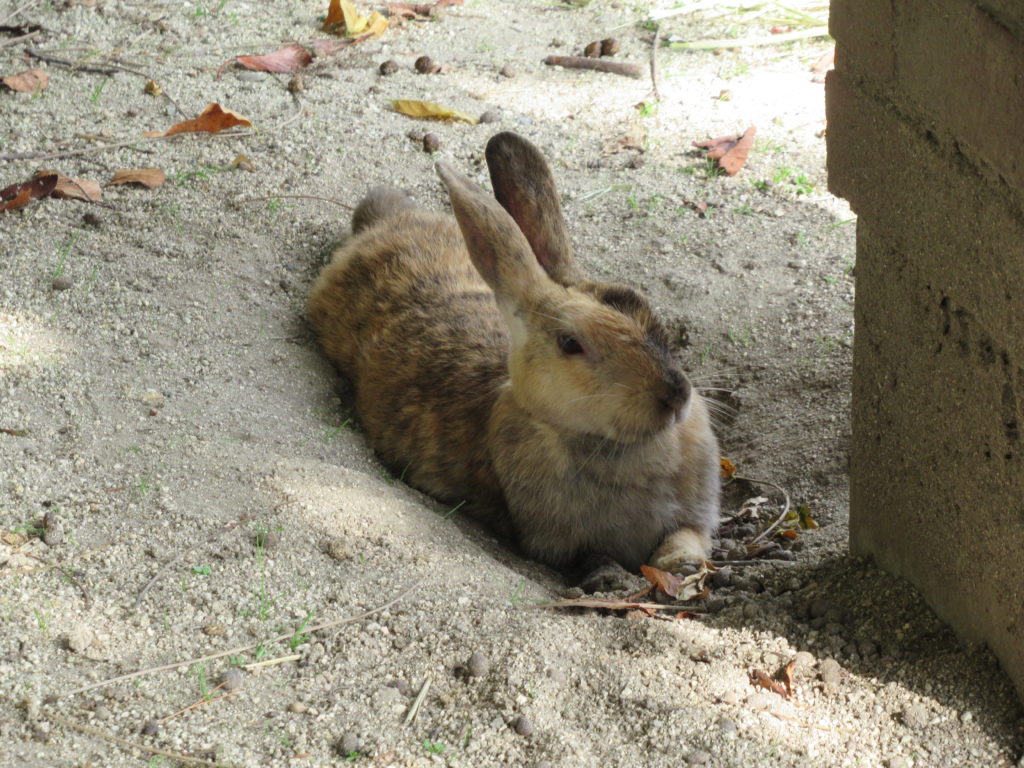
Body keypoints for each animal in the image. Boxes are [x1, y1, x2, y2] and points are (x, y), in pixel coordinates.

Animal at [311, 132, 720, 589]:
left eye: (647, 310)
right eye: (571, 343)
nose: (676, 397)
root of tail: (383, 225)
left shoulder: (695, 516)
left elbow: (687, 536)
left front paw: (682, 566)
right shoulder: (554, 541)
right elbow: (585, 556)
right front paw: (611, 578)